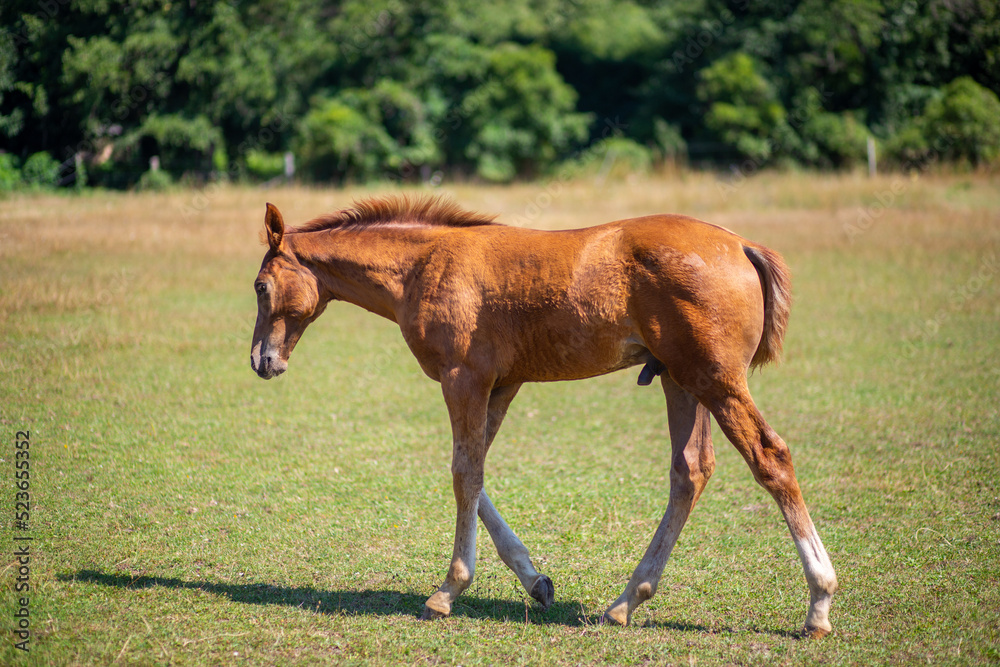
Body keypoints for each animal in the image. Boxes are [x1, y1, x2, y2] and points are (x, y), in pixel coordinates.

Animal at [250, 195, 838, 637]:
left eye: (260, 286)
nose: (262, 361)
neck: (426, 264)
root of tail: (739, 244)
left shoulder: (463, 378)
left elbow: (464, 474)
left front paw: (448, 590)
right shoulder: (501, 385)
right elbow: (474, 473)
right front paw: (535, 580)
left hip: (715, 381)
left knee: (770, 457)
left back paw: (819, 603)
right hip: (680, 380)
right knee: (690, 471)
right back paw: (627, 600)